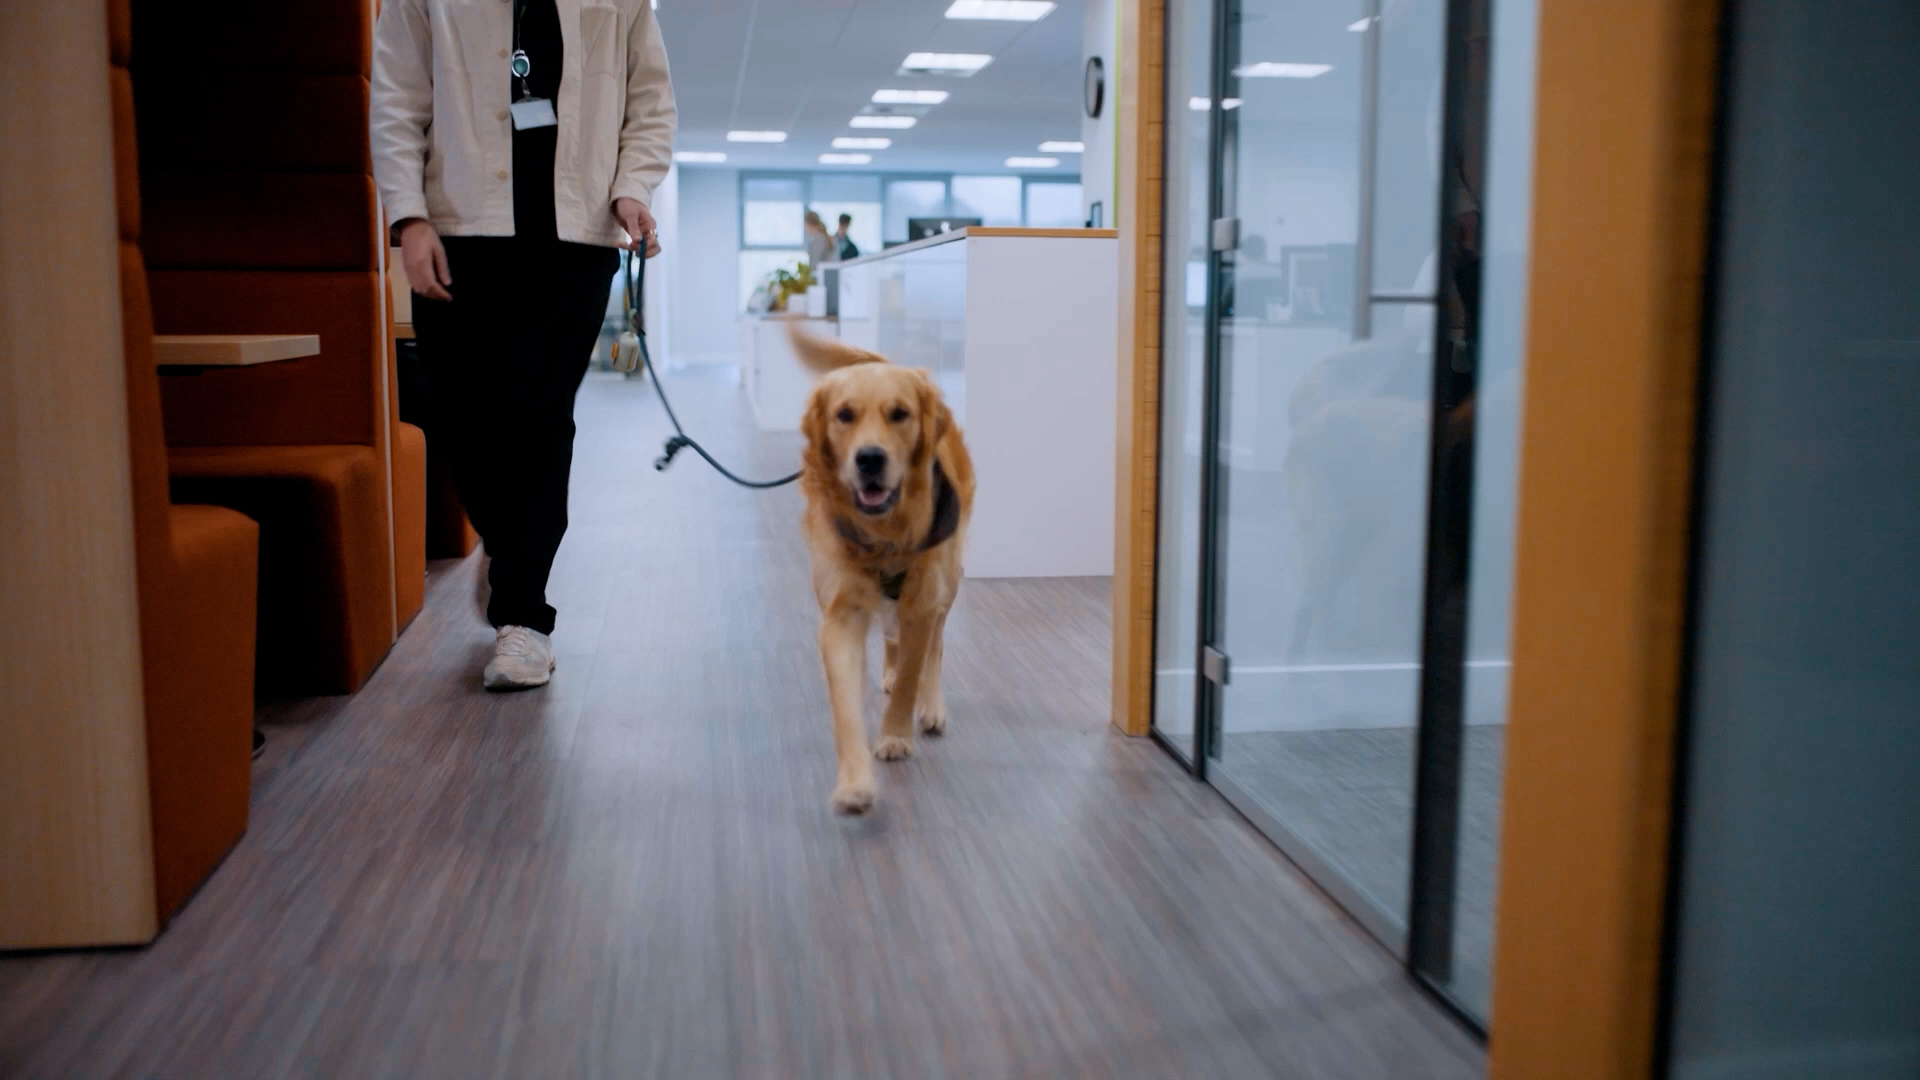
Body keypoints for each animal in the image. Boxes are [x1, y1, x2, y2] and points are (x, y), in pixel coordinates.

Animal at [787, 322, 983, 810]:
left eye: (899, 414)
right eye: (844, 415)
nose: (870, 458)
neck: (882, 534)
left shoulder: (923, 603)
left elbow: (916, 669)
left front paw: (895, 735)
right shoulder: (840, 613)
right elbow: (845, 706)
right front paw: (855, 781)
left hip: (948, 583)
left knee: (935, 649)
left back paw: (931, 707)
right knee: (894, 639)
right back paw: (891, 672)